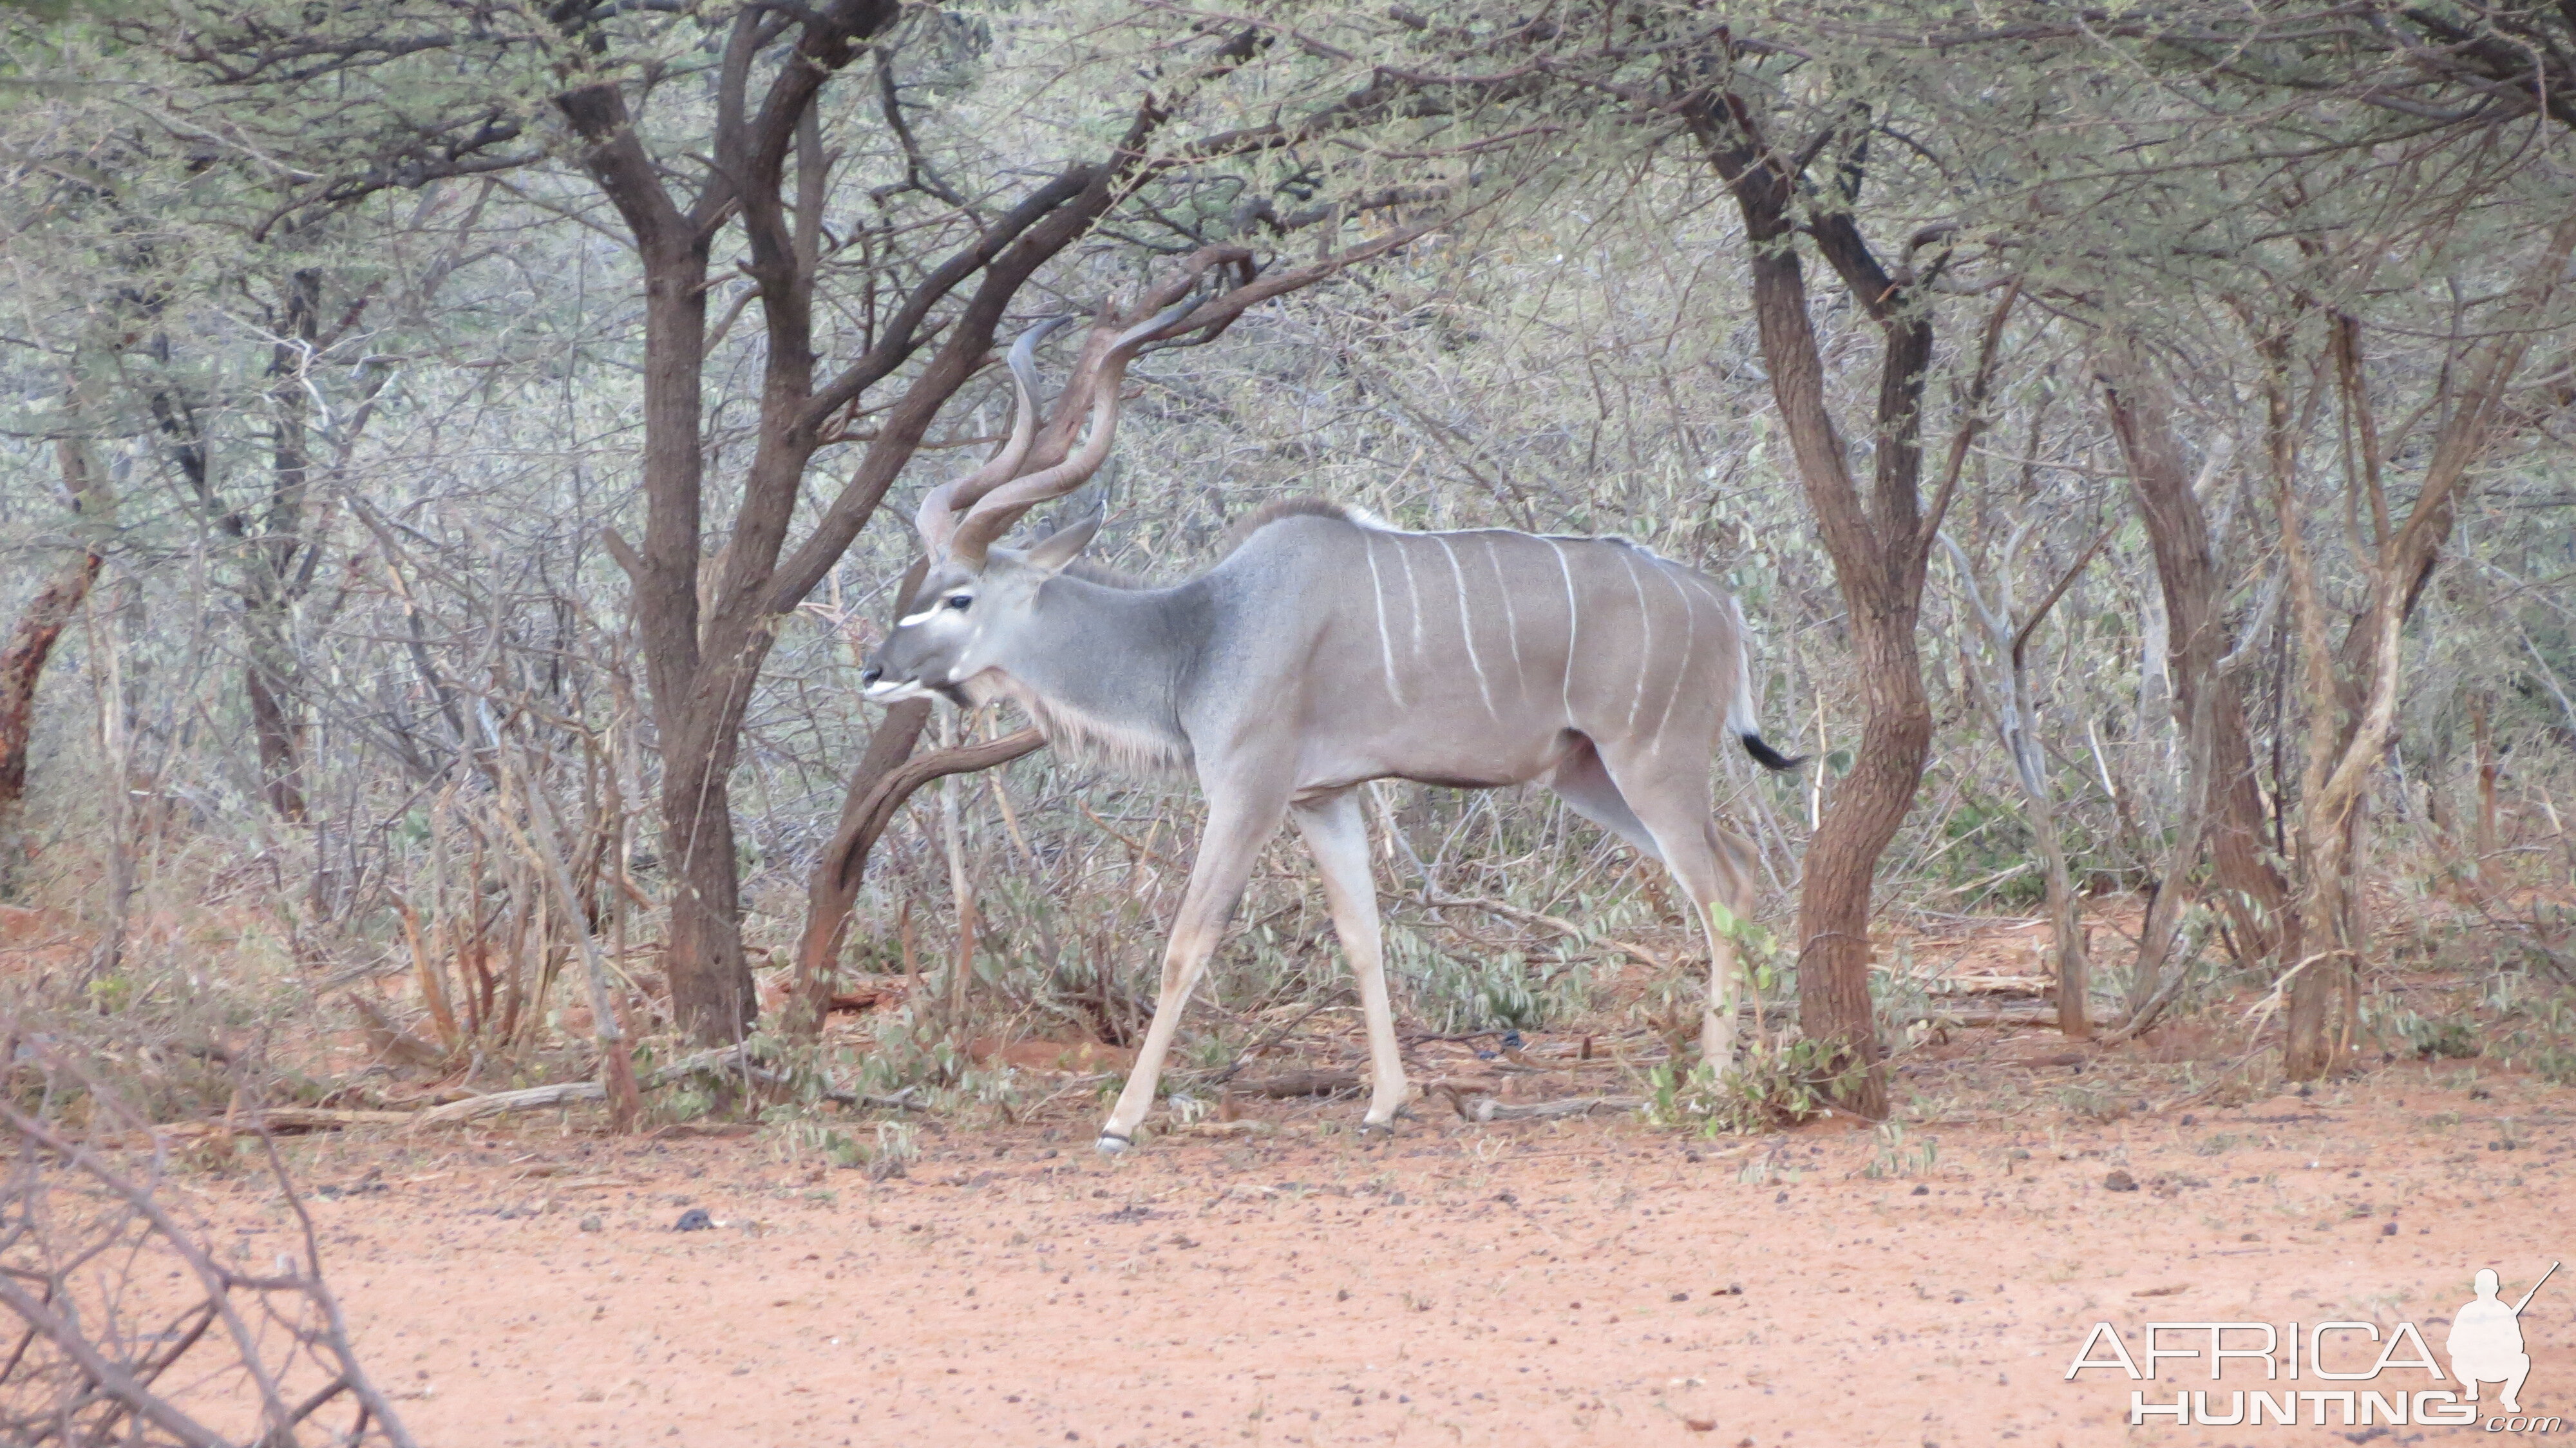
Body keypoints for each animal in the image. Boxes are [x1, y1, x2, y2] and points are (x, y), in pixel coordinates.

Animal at [866, 299, 1793, 1144]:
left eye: (959, 597)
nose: (875, 673)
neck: (1203, 631)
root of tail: (1723, 605)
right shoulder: (1324, 798)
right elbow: (1361, 936)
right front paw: (1384, 1105)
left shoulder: (1248, 791)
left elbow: (1187, 943)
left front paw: (1122, 1121)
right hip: (1589, 773)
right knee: (1743, 869)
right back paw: (1751, 1058)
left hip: (1650, 760)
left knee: (1717, 892)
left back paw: (1715, 1085)